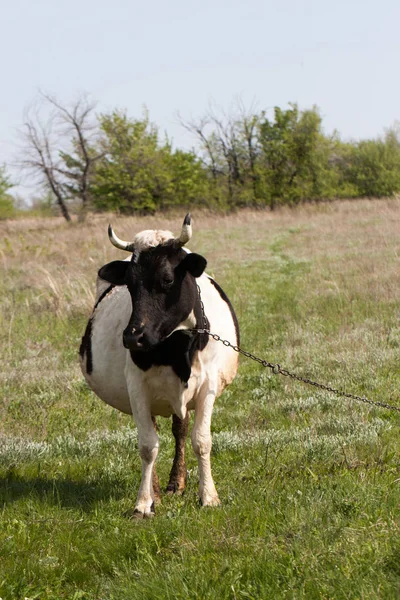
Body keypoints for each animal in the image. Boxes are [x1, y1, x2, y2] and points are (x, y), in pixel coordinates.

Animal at [79, 214, 239, 516]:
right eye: (129, 284)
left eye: (167, 279)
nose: (133, 337)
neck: (175, 350)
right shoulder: (137, 388)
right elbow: (147, 445)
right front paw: (144, 503)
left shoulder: (208, 386)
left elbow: (201, 440)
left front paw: (209, 496)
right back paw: (156, 491)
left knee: (180, 429)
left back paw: (177, 483)